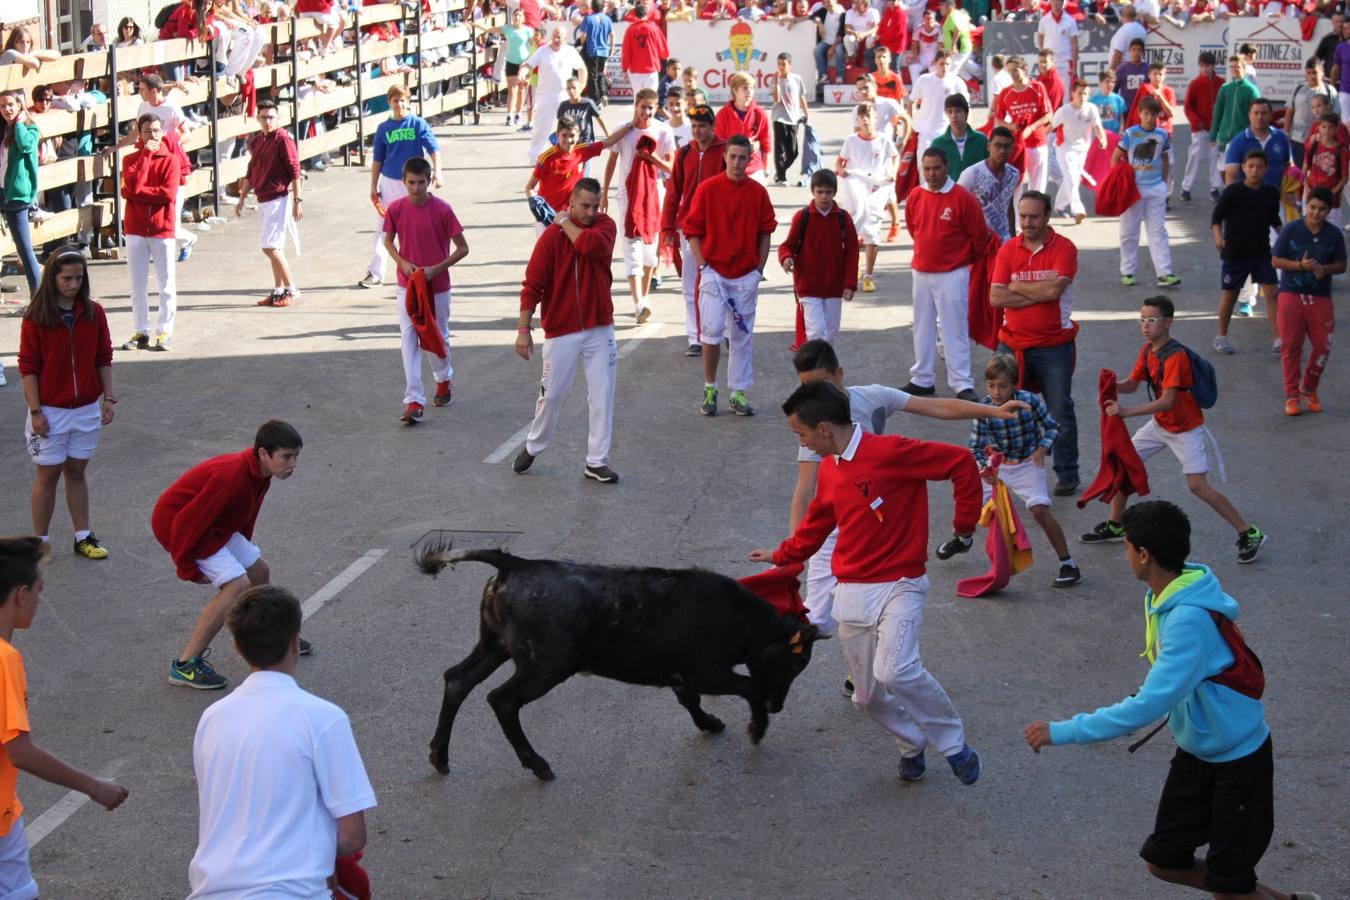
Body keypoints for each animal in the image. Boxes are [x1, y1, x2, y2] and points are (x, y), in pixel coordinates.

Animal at [415, 550, 826, 782]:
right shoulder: (709, 673)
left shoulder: (684, 675)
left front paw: (711, 723)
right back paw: (539, 765)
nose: (778, 706)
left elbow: (690, 701)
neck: (742, 619)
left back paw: (439, 756)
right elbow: (747, 687)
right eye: (798, 662)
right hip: (545, 667)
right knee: (502, 700)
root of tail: (515, 565)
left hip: (495, 646)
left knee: (458, 680)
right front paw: (756, 728)